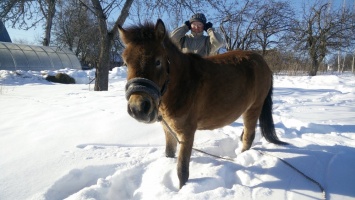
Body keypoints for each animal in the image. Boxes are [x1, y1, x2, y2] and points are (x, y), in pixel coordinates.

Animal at [118, 18, 288, 189]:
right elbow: (169, 154)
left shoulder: (187, 133)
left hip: (254, 107)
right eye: (126, 62)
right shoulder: (168, 130)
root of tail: (262, 62)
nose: (138, 108)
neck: (182, 83)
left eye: (158, 61)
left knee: (249, 136)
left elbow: (182, 171)